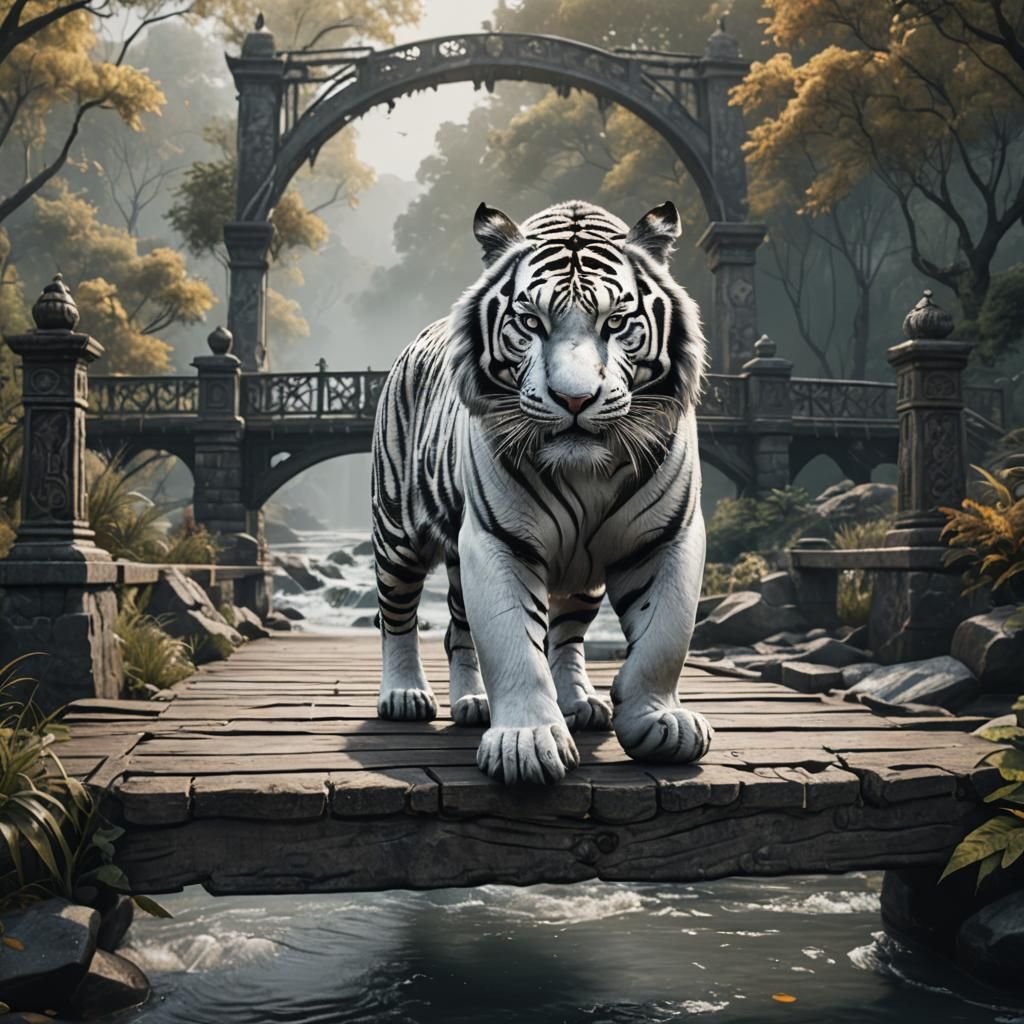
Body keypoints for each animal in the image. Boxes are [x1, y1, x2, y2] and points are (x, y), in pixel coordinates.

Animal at [371, 198, 712, 785]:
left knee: (544, 633)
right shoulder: (497, 541)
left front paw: (658, 721)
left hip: (575, 574)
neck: (586, 473)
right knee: (398, 615)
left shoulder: (668, 536)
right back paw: (405, 695)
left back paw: (547, 702)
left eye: (615, 323)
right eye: (531, 322)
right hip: (397, 535)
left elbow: (665, 637)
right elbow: (513, 645)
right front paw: (525, 744)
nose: (574, 399)